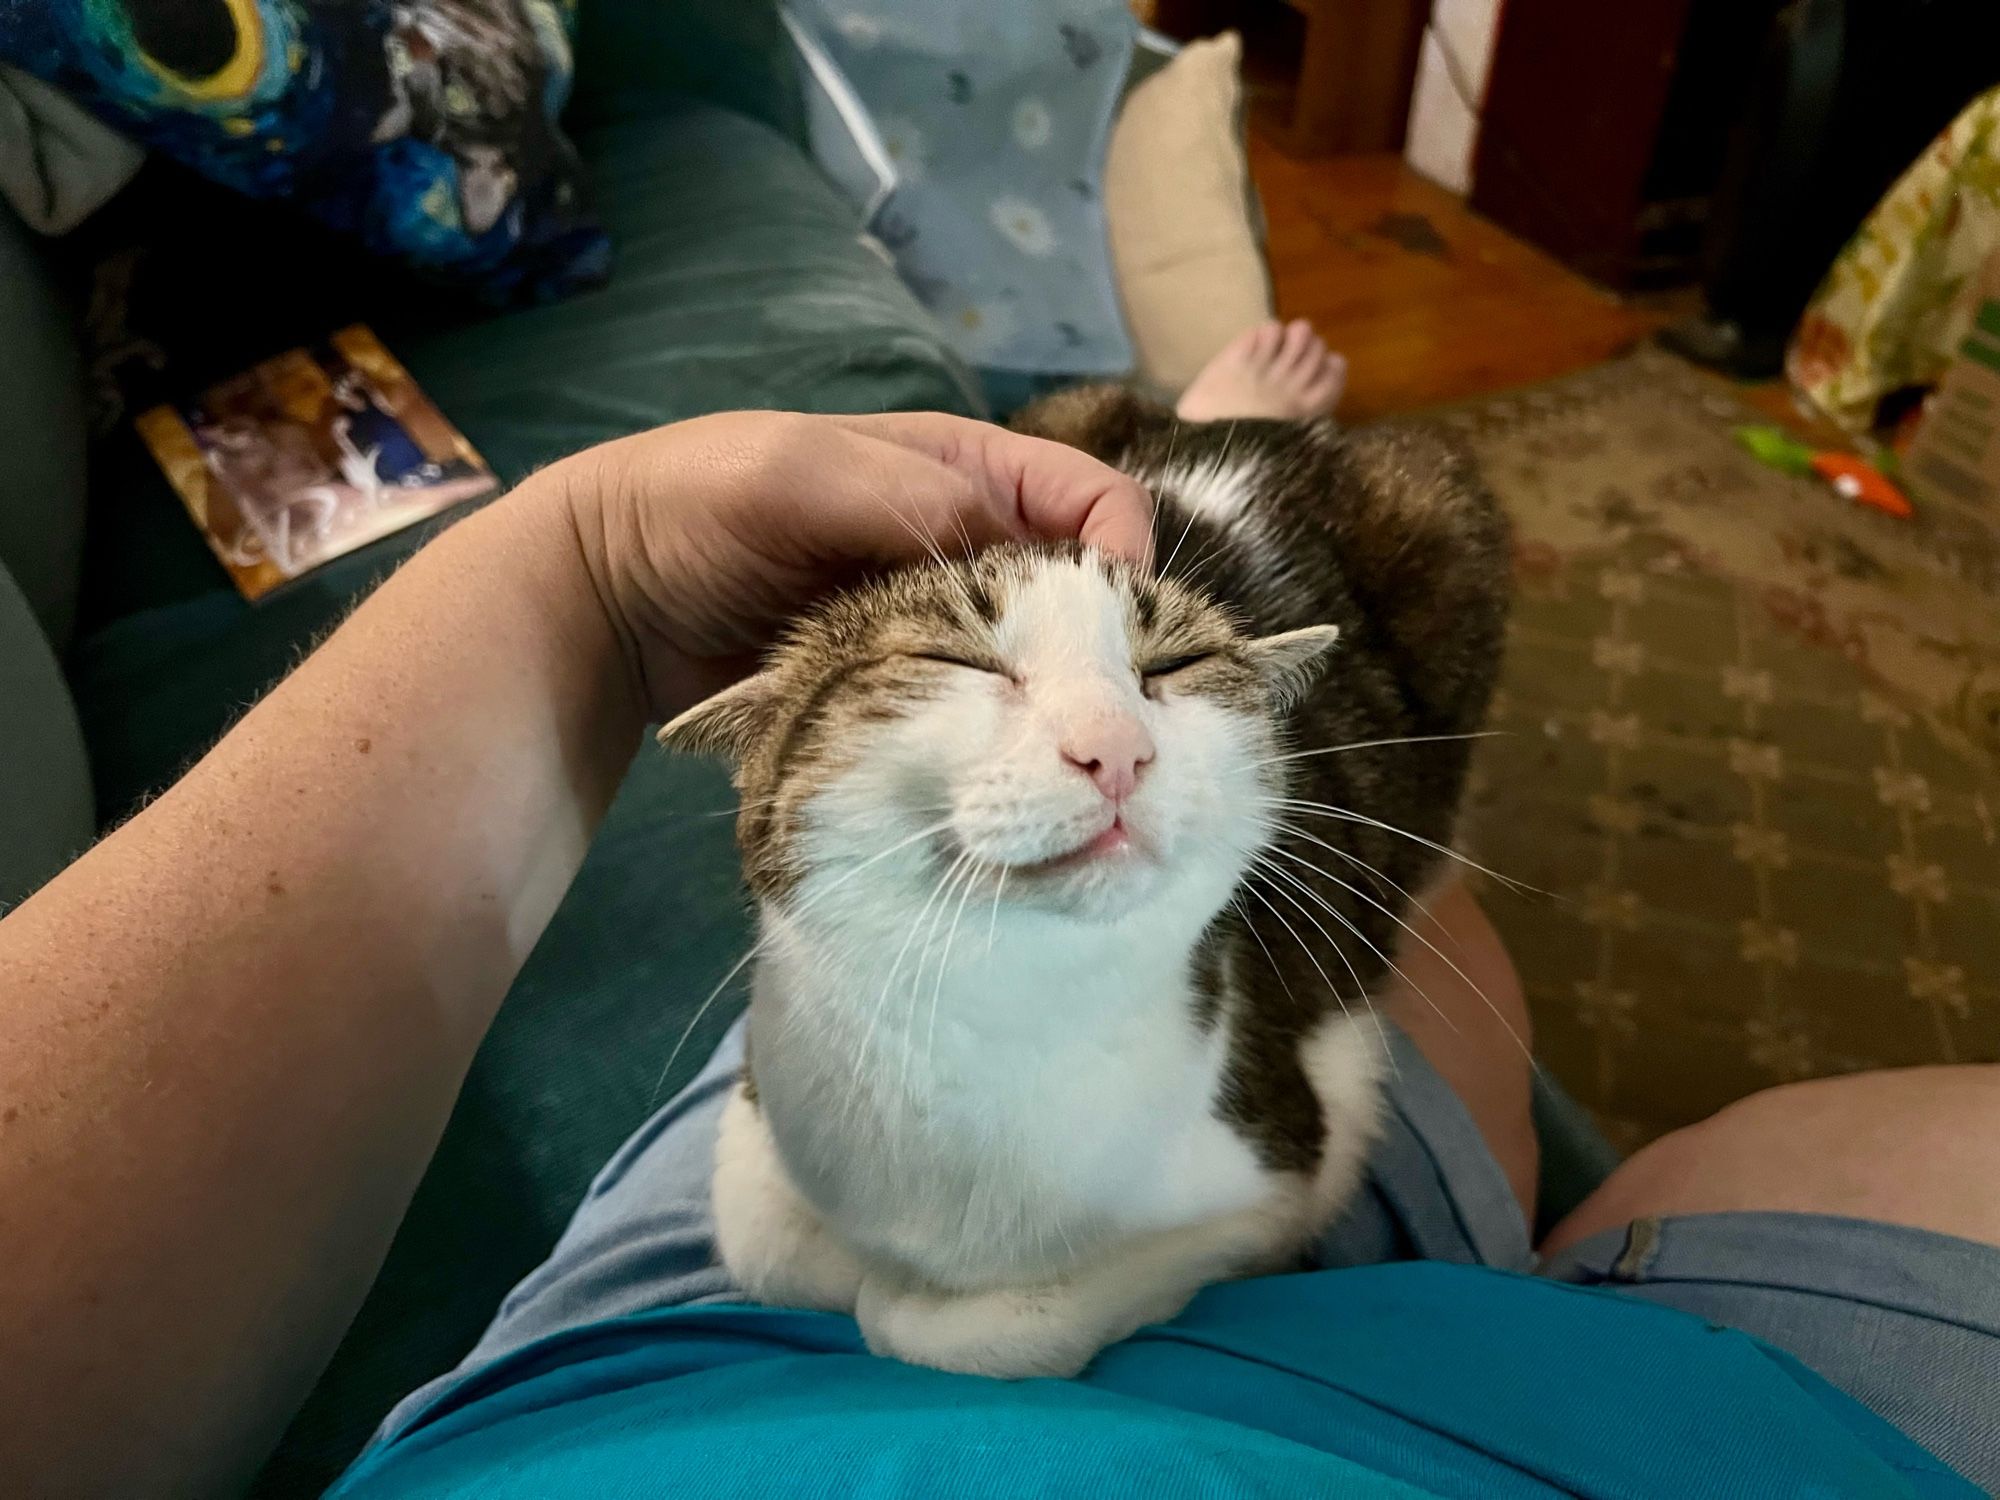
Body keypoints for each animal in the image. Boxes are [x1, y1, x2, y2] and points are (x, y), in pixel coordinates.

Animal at [664, 384, 1504, 1376]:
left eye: (1173, 668)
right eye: (959, 661)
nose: (1116, 750)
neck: (1000, 1014)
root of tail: (1265, 433)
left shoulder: (1292, 1153)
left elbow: (979, 1326)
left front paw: (906, 1297)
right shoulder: (762, 1115)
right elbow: (771, 1244)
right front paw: (863, 1270)